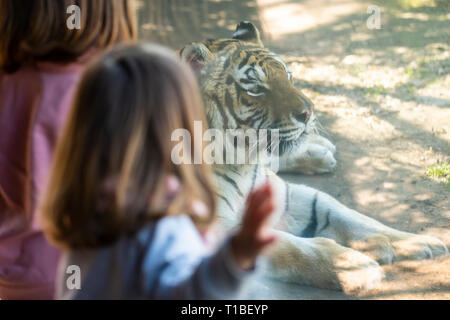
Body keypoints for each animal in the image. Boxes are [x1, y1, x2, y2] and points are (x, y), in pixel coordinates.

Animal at [179, 21, 446, 294]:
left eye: (289, 77)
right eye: (255, 89)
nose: (308, 112)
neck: (241, 161)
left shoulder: (286, 194)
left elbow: (348, 215)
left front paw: (417, 242)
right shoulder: (208, 225)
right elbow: (294, 246)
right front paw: (353, 267)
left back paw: (320, 152)